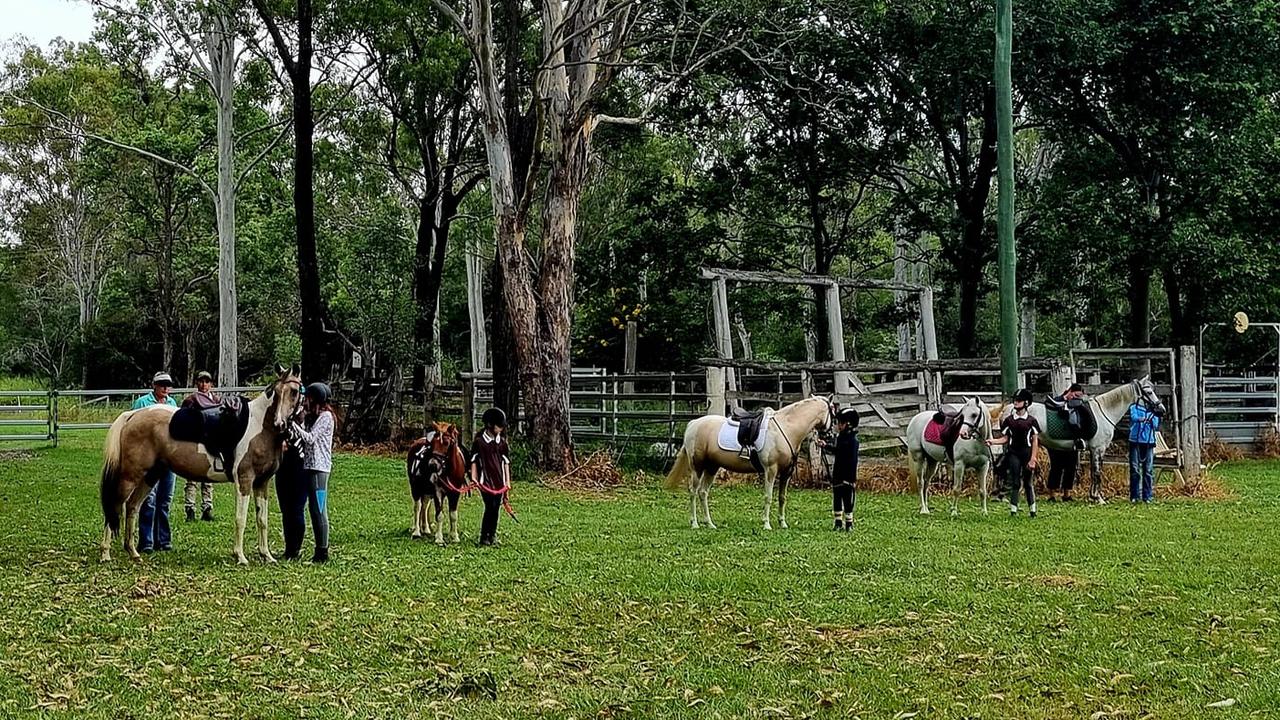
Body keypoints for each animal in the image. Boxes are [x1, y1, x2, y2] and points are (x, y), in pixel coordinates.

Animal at [99, 366, 304, 563]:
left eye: (294, 392)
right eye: (276, 392)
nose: (279, 423)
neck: (259, 426)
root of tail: (132, 415)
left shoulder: (262, 483)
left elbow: (262, 520)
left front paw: (266, 555)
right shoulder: (244, 480)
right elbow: (241, 519)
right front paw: (240, 556)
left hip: (151, 475)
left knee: (132, 506)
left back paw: (133, 552)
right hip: (131, 475)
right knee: (114, 507)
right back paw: (105, 554)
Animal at [665, 392, 834, 527]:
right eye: (833, 410)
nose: (830, 436)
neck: (786, 428)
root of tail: (693, 424)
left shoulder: (787, 472)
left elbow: (782, 497)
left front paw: (783, 523)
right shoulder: (770, 470)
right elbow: (768, 497)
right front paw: (766, 524)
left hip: (711, 468)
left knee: (703, 492)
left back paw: (710, 524)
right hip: (697, 467)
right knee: (693, 491)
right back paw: (694, 523)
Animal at [1024, 371, 1167, 502]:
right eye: (1149, 392)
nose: (1162, 410)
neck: (1105, 411)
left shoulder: (1095, 450)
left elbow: (1094, 473)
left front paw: (1093, 496)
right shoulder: (1098, 449)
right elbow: (1097, 473)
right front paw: (1099, 499)